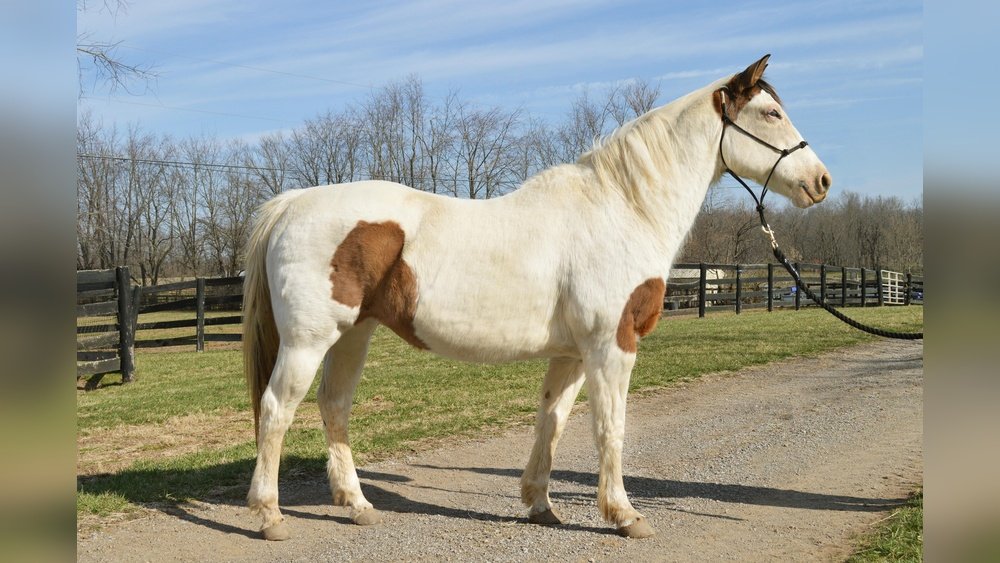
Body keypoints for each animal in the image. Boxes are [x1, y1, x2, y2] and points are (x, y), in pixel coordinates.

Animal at [242, 54, 832, 541]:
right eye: (771, 113)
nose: (821, 180)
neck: (624, 209)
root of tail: (292, 203)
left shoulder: (572, 354)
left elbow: (553, 421)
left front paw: (541, 505)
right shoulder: (610, 347)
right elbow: (610, 428)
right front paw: (625, 515)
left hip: (352, 336)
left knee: (334, 407)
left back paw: (357, 505)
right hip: (308, 341)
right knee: (276, 411)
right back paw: (269, 516)